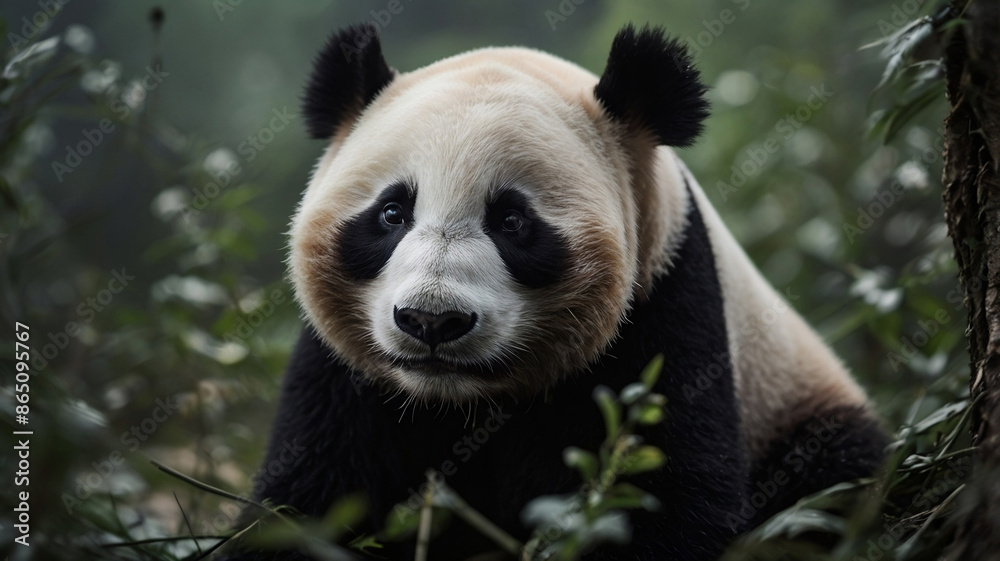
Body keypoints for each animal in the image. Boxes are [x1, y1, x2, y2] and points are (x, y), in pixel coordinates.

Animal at [233, 22, 888, 561]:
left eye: (512, 222)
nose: (431, 321)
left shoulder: (665, 306)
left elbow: (661, 498)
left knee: (835, 480)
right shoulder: (343, 376)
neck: (462, 400)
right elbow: (312, 491)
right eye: (392, 213)